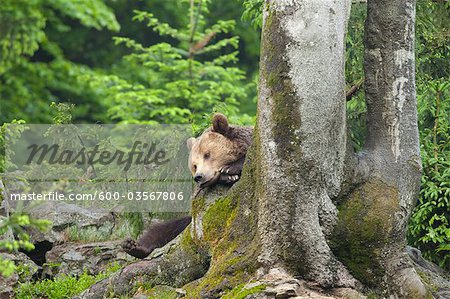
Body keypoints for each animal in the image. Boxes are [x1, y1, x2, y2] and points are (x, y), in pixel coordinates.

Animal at [123, 113, 253, 258]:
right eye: (194, 165)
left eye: (207, 154)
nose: (199, 177)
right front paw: (228, 176)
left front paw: (229, 170)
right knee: (163, 229)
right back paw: (133, 245)